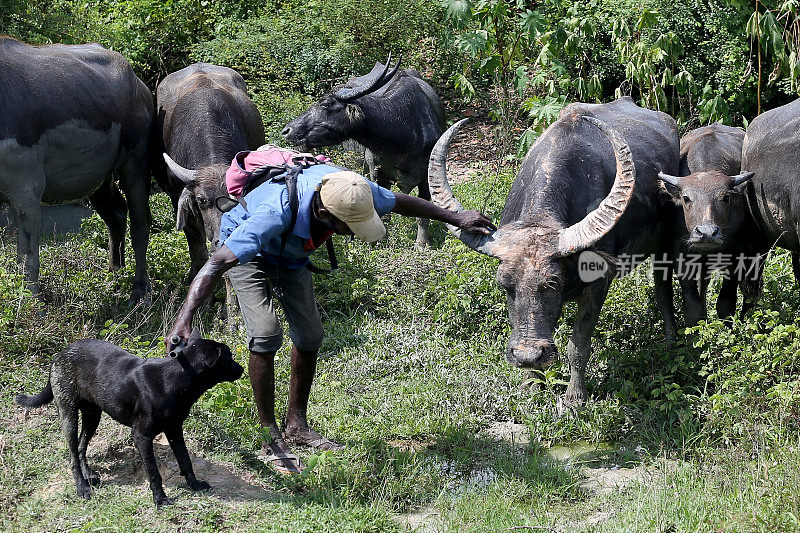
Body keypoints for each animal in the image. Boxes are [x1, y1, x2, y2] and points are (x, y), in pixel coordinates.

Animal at [0, 36, 152, 300]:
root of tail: (141, 88)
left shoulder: (26, 192)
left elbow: (28, 260)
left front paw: (32, 303)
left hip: (135, 165)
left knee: (140, 225)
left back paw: (139, 289)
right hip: (98, 179)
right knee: (116, 213)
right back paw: (115, 275)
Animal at [14, 334, 241, 504]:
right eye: (228, 356)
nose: (241, 369)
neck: (175, 378)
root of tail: (59, 354)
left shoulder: (174, 429)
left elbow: (185, 460)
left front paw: (195, 485)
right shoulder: (141, 435)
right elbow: (153, 471)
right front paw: (160, 499)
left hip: (92, 415)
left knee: (80, 446)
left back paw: (88, 475)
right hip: (68, 413)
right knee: (72, 454)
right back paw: (82, 487)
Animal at [280, 54, 444, 247]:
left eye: (325, 104)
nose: (287, 130)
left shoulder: (426, 176)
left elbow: (423, 214)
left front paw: (421, 244)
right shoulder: (376, 171)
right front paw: (381, 242)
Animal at [428, 96, 684, 404]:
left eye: (551, 283)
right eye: (504, 284)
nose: (527, 354)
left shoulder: (598, 282)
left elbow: (578, 344)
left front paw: (575, 397)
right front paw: (530, 384)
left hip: (664, 248)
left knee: (663, 291)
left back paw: (671, 343)